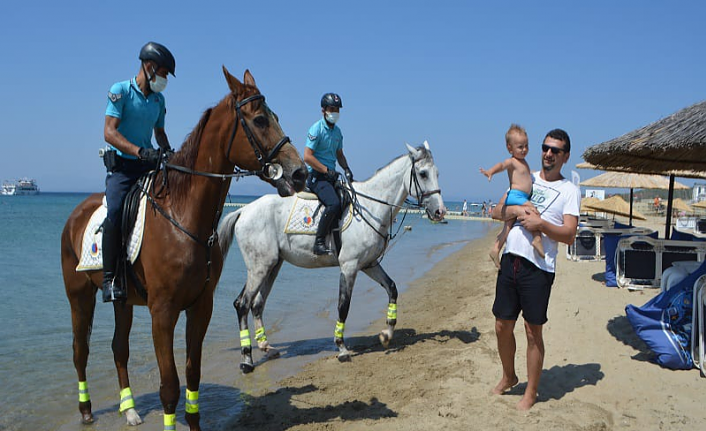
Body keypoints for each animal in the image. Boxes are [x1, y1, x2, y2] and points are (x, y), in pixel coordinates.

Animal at [58, 67, 306, 431]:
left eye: (274, 117)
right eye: (260, 120)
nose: (300, 171)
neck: (183, 217)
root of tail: (76, 214)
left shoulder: (199, 307)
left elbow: (192, 374)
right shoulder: (162, 312)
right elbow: (170, 385)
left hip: (123, 301)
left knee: (119, 349)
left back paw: (129, 409)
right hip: (79, 296)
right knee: (80, 351)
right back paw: (86, 409)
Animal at [219, 142, 446, 372]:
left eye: (437, 173)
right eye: (423, 173)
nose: (440, 212)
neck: (371, 208)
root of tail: (244, 210)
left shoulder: (369, 264)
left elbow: (392, 289)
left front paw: (386, 334)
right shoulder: (349, 266)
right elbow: (343, 305)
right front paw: (342, 348)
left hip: (272, 265)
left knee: (257, 304)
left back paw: (267, 348)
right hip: (260, 266)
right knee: (242, 304)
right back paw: (247, 360)